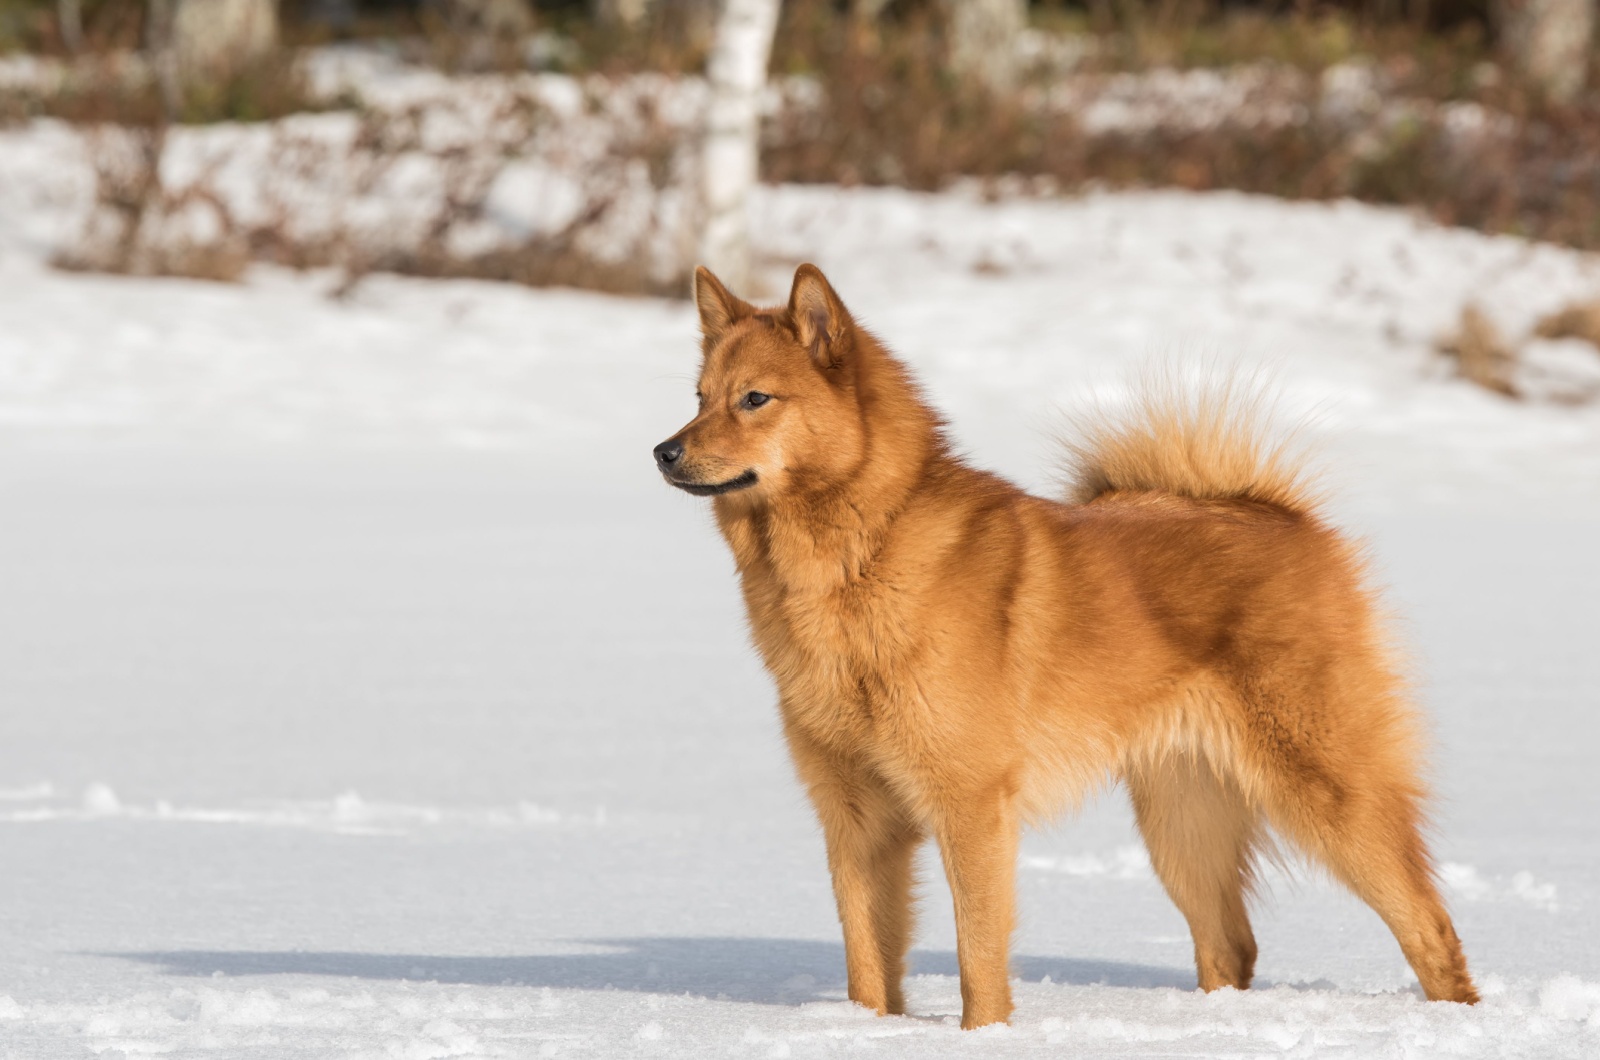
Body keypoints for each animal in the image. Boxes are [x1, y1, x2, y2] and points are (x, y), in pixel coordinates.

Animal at [649, 264, 1472, 1031]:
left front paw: (983, 1035)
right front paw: (865, 1031)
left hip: (1327, 794)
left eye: (755, 399)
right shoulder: (855, 818)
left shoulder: (971, 809)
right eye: (699, 396)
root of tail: (1282, 517)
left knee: (1429, 925)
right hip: (1182, 823)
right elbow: (867, 964)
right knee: (1231, 946)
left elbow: (979, 958)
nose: (663, 451)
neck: (860, 556)